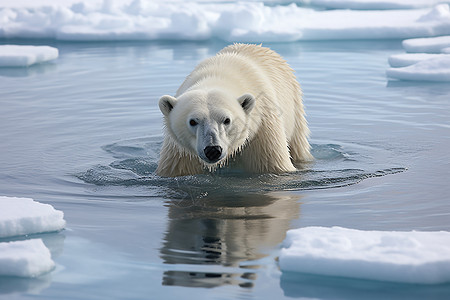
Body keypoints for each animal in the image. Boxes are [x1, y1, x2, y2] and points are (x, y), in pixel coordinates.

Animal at [156, 43, 312, 177]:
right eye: (193, 121)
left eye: (227, 120)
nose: (213, 150)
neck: (217, 76)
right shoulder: (180, 150)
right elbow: (177, 168)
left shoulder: (262, 129)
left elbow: (273, 165)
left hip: (294, 107)